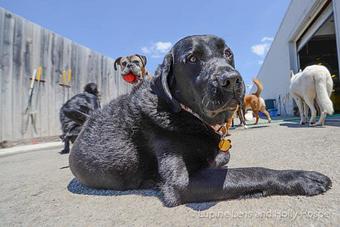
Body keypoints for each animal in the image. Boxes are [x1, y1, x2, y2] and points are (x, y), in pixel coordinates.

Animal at [67, 34, 330, 207]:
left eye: (228, 53)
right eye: (192, 59)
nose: (232, 80)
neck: (187, 115)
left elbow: (226, 160)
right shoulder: (182, 182)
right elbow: (253, 171)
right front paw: (300, 178)